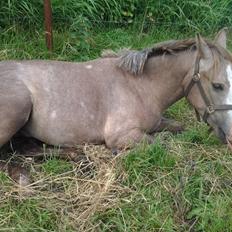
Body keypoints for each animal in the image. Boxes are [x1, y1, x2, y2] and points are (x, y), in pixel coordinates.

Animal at [0, 28, 232, 163]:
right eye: (218, 85)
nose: (230, 137)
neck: (140, 86)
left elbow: (176, 127)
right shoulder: (121, 135)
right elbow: (161, 143)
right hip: (18, 111)